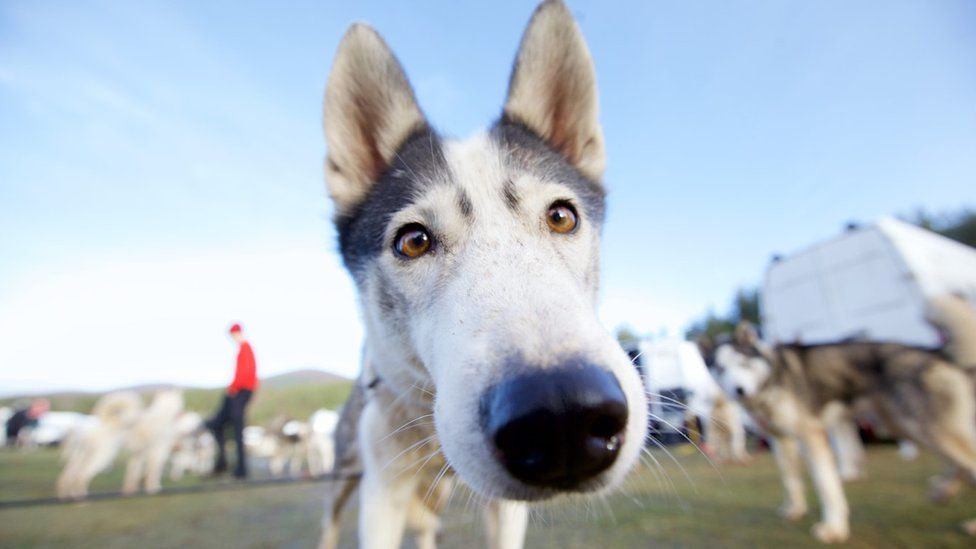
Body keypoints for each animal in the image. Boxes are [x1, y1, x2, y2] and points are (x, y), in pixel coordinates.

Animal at [318, 1, 648, 548]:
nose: (562, 415)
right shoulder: (382, 491)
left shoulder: (505, 510)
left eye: (562, 216)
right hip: (347, 472)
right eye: (413, 241)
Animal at [708, 310, 976, 540]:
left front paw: (834, 528)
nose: (738, 390)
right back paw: (942, 490)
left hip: (927, 428)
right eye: (720, 369)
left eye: (743, 363)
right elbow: (790, 480)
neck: (773, 379)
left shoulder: (812, 436)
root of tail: (937, 352)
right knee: (959, 465)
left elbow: (826, 486)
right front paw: (795, 510)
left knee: (966, 461)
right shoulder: (781, 440)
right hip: (906, 425)